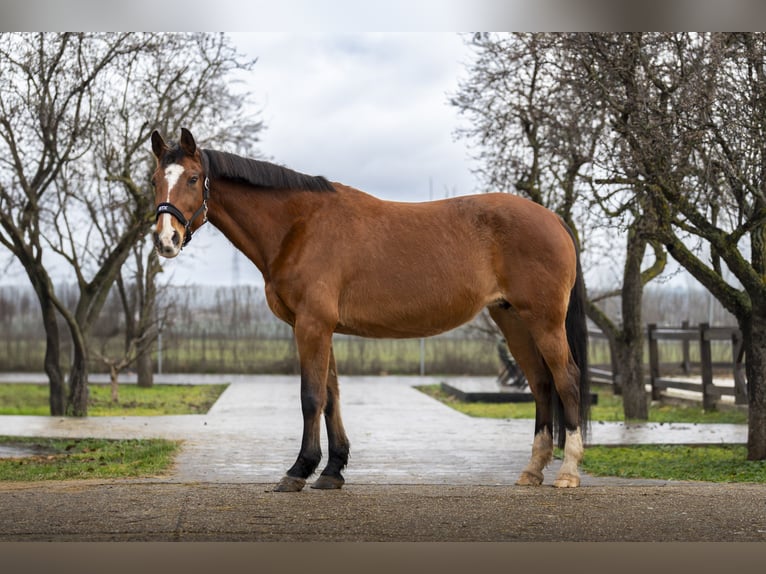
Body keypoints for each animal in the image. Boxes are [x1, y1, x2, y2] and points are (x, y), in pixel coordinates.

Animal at [150, 128, 590, 491]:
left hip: (544, 320)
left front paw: (298, 471)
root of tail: (554, 219)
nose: (166, 240)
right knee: (541, 383)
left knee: (566, 379)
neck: (299, 226)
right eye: (156, 180)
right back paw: (532, 471)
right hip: (511, 318)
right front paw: (332, 471)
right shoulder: (320, 327)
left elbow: (311, 396)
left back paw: (568, 472)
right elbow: (331, 396)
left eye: (193, 178)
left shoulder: (312, 325)